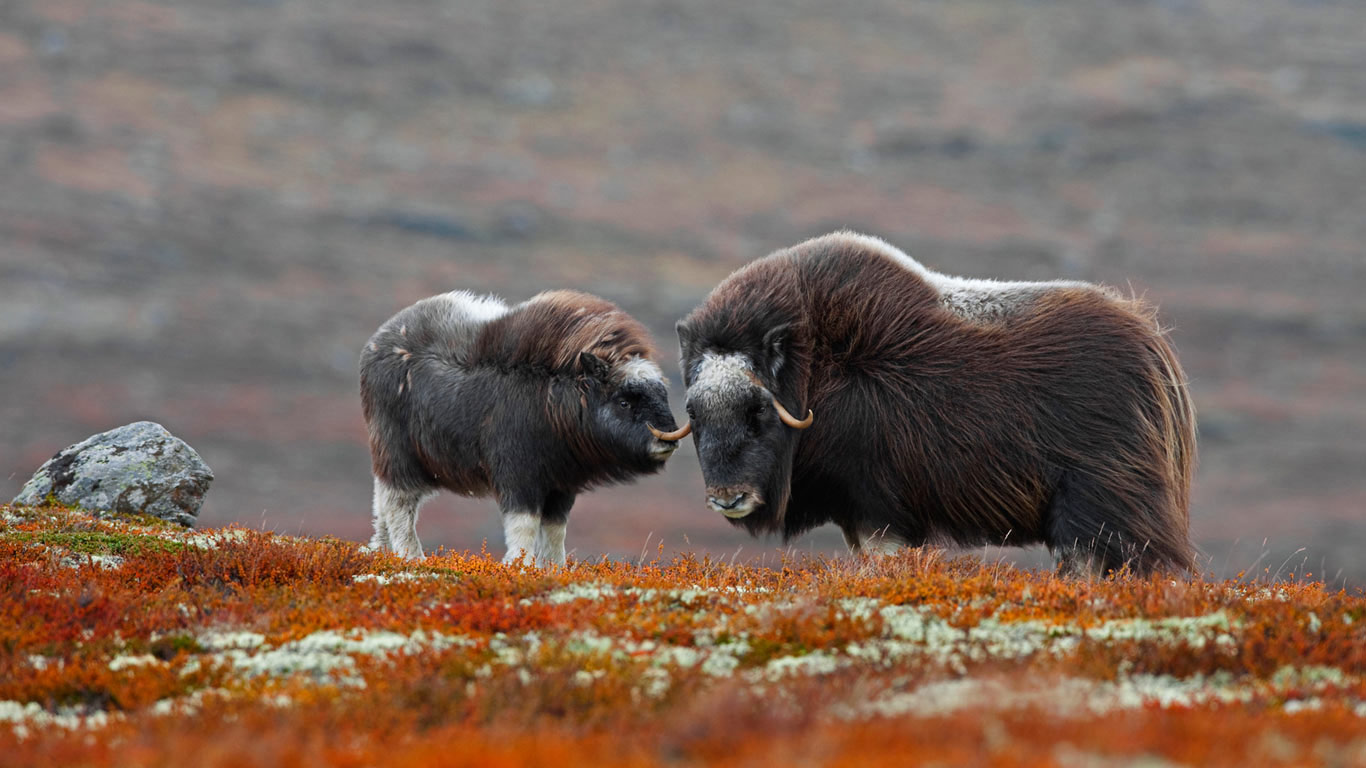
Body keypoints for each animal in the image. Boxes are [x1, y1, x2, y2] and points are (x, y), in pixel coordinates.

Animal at [360, 289, 688, 565]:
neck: (557, 396)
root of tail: (376, 343)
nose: (669, 439)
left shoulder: (561, 484)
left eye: (660, 392)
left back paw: (381, 552)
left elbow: (556, 529)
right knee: (398, 504)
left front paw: (555, 569)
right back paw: (412, 558)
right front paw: (520, 566)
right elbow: (524, 524)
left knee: (382, 504)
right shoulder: (519, 475)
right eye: (624, 401)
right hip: (397, 454)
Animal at [674, 231, 1197, 576]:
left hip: (1097, 508)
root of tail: (1153, 348)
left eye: (757, 410)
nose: (728, 498)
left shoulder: (878, 509)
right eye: (694, 414)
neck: (816, 371)